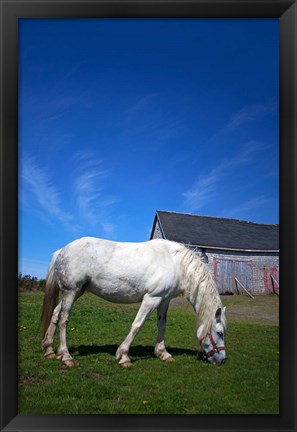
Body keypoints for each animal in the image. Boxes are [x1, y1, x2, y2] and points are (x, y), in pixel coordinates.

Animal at [41, 238, 227, 366]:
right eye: (220, 333)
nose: (222, 360)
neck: (176, 263)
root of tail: (62, 251)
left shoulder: (164, 300)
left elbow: (162, 325)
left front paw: (163, 353)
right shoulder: (151, 298)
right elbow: (137, 325)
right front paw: (123, 356)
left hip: (75, 292)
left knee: (55, 314)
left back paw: (50, 350)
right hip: (70, 291)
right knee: (64, 319)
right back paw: (66, 356)